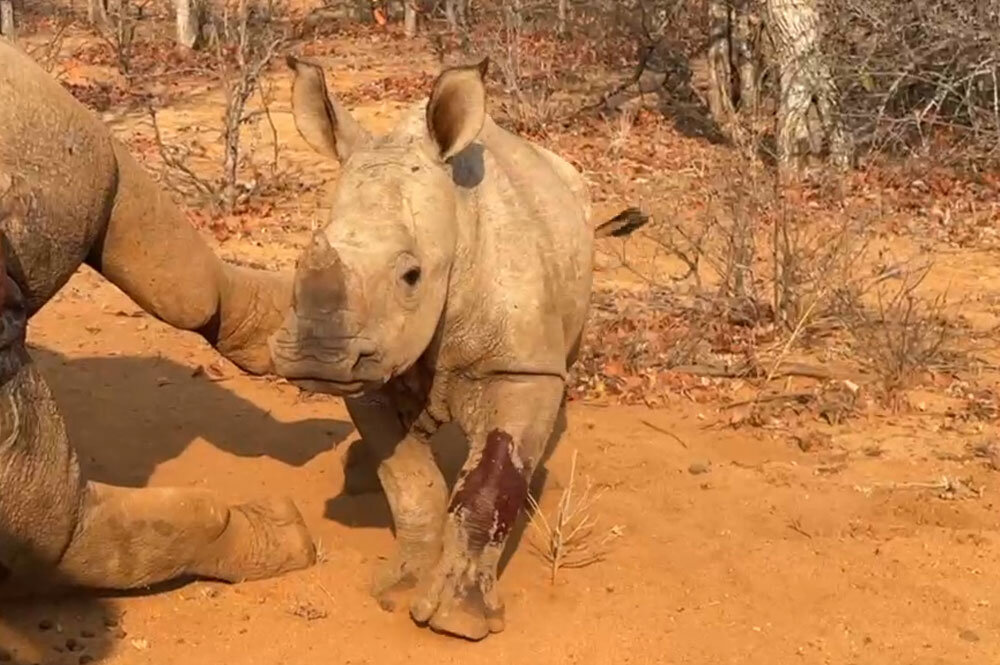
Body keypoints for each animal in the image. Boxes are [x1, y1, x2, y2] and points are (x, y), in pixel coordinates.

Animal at [271, 55, 647, 640]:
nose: (317, 358)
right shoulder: (372, 374)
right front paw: (401, 587)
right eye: (297, 262)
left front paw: (457, 622)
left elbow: (488, 482)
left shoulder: (522, 370)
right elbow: (408, 480)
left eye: (411, 275)